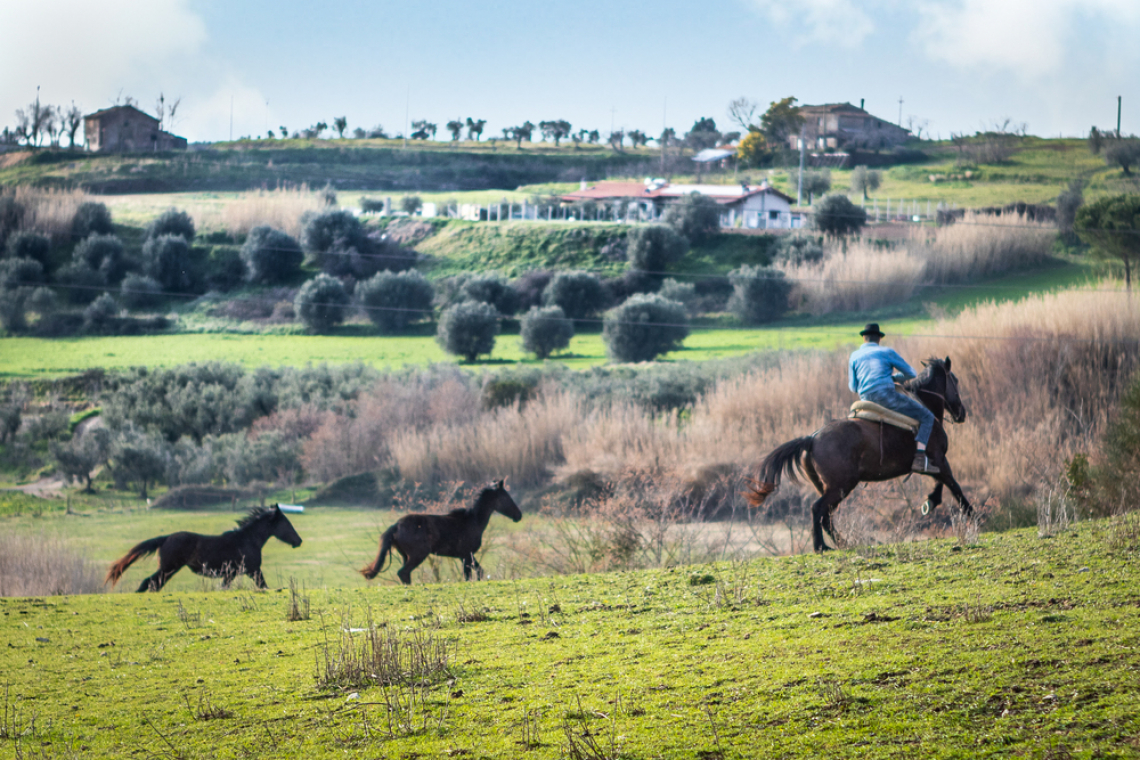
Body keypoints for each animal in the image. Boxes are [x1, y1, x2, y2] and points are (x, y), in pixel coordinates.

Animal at [105, 505, 303, 592]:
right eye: (286, 523)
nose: (299, 541)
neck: (247, 540)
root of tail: (165, 539)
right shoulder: (253, 570)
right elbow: (264, 585)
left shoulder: (231, 574)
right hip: (169, 568)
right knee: (149, 582)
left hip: (168, 570)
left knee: (153, 584)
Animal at [360, 480, 522, 587]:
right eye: (506, 497)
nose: (519, 515)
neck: (473, 521)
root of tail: (396, 526)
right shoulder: (466, 555)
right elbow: (469, 575)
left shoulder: (465, 556)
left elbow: (479, 572)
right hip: (418, 554)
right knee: (403, 572)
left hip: (405, 556)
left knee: (404, 574)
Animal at [743, 357, 975, 553]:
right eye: (955, 380)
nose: (962, 413)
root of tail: (812, 438)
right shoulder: (940, 461)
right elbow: (955, 488)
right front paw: (972, 517)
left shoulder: (934, 465)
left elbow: (941, 484)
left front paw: (931, 502)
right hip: (841, 486)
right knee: (818, 510)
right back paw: (821, 546)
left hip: (829, 487)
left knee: (826, 516)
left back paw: (841, 543)